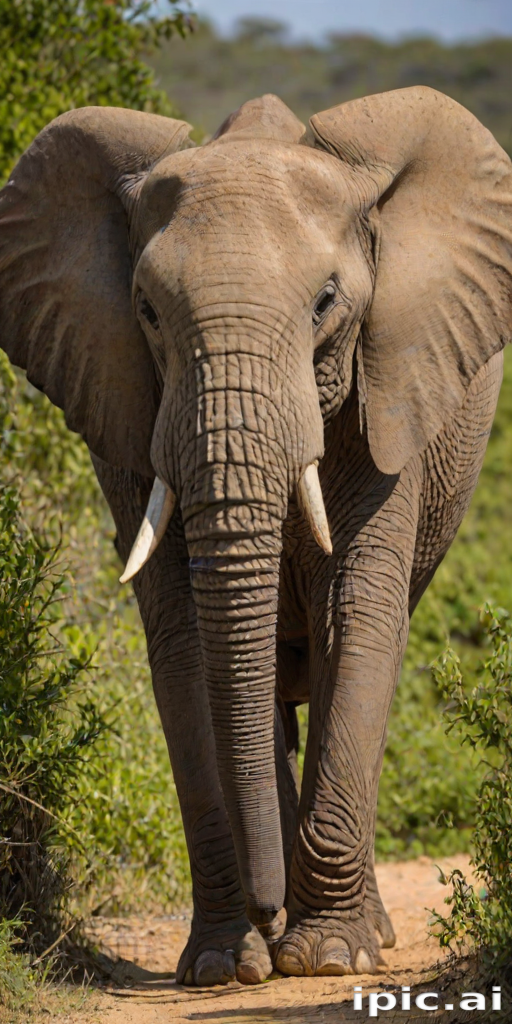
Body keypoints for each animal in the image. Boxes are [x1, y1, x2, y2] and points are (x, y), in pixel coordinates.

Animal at [0, 86, 511, 985]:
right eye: (146, 310)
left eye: (327, 303)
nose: (269, 915)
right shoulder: (129, 410)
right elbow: (185, 637)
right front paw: (223, 965)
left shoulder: (390, 392)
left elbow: (360, 616)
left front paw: (330, 957)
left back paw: (363, 936)